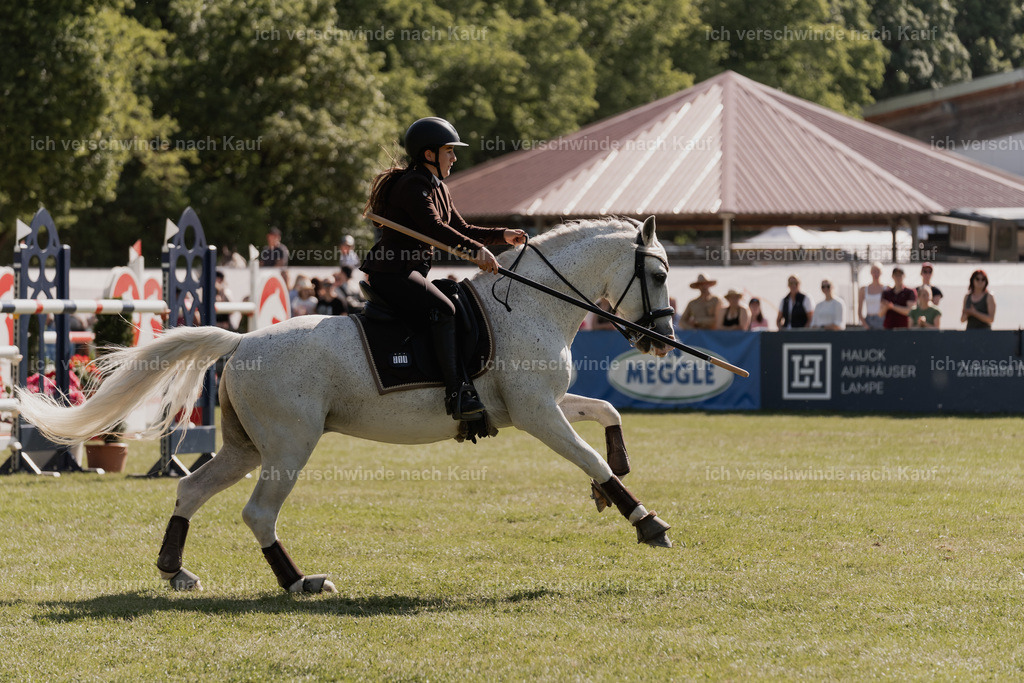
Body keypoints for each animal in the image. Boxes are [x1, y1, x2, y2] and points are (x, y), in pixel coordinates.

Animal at [17, 216, 678, 593]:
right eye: (659, 274)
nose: (662, 340)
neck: (532, 305)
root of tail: (242, 340)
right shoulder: (537, 413)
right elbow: (589, 456)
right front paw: (646, 521)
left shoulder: (540, 404)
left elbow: (607, 417)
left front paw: (617, 475)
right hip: (289, 445)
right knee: (258, 513)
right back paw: (299, 582)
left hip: (246, 447)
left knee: (191, 489)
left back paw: (174, 569)